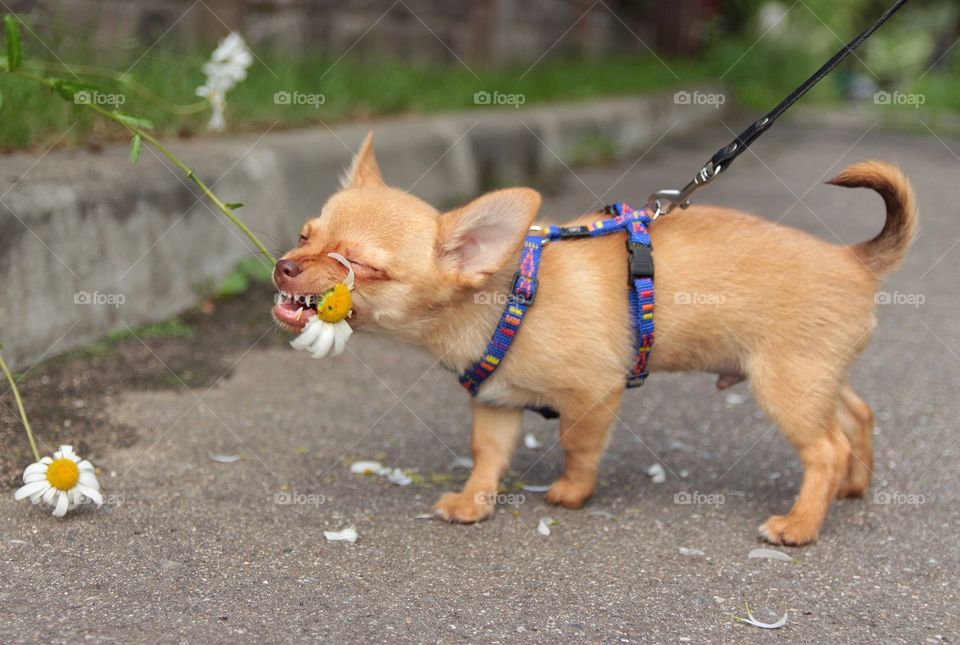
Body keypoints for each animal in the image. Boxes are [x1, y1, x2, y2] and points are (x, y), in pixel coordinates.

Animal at [270, 133, 916, 544]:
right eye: (303, 236)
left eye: (357, 265)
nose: (282, 266)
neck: (508, 296)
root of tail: (854, 259)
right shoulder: (496, 404)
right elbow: (488, 455)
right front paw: (475, 502)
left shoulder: (592, 396)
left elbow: (579, 448)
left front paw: (571, 494)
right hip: (816, 378)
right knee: (856, 418)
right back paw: (854, 486)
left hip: (785, 386)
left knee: (826, 449)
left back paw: (801, 525)